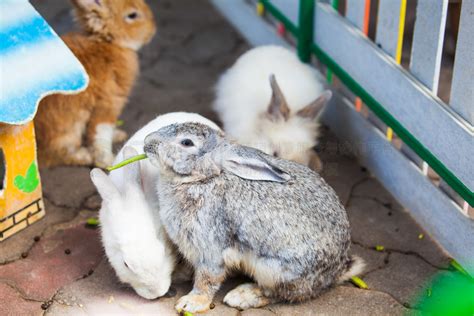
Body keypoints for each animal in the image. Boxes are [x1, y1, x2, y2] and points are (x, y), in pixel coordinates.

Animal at [36, 0, 157, 168]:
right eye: (132, 15)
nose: (153, 29)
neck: (109, 43)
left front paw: (117, 135)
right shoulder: (108, 103)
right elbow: (101, 132)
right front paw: (108, 162)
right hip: (67, 130)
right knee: (60, 153)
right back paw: (84, 156)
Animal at [143, 119, 362, 312]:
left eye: (187, 142)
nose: (147, 142)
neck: (205, 178)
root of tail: (336, 272)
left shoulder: (210, 249)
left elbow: (207, 279)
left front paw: (191, 303)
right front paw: (178, 274)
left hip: (276, 271)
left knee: (281, 294)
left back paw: (242, 296)